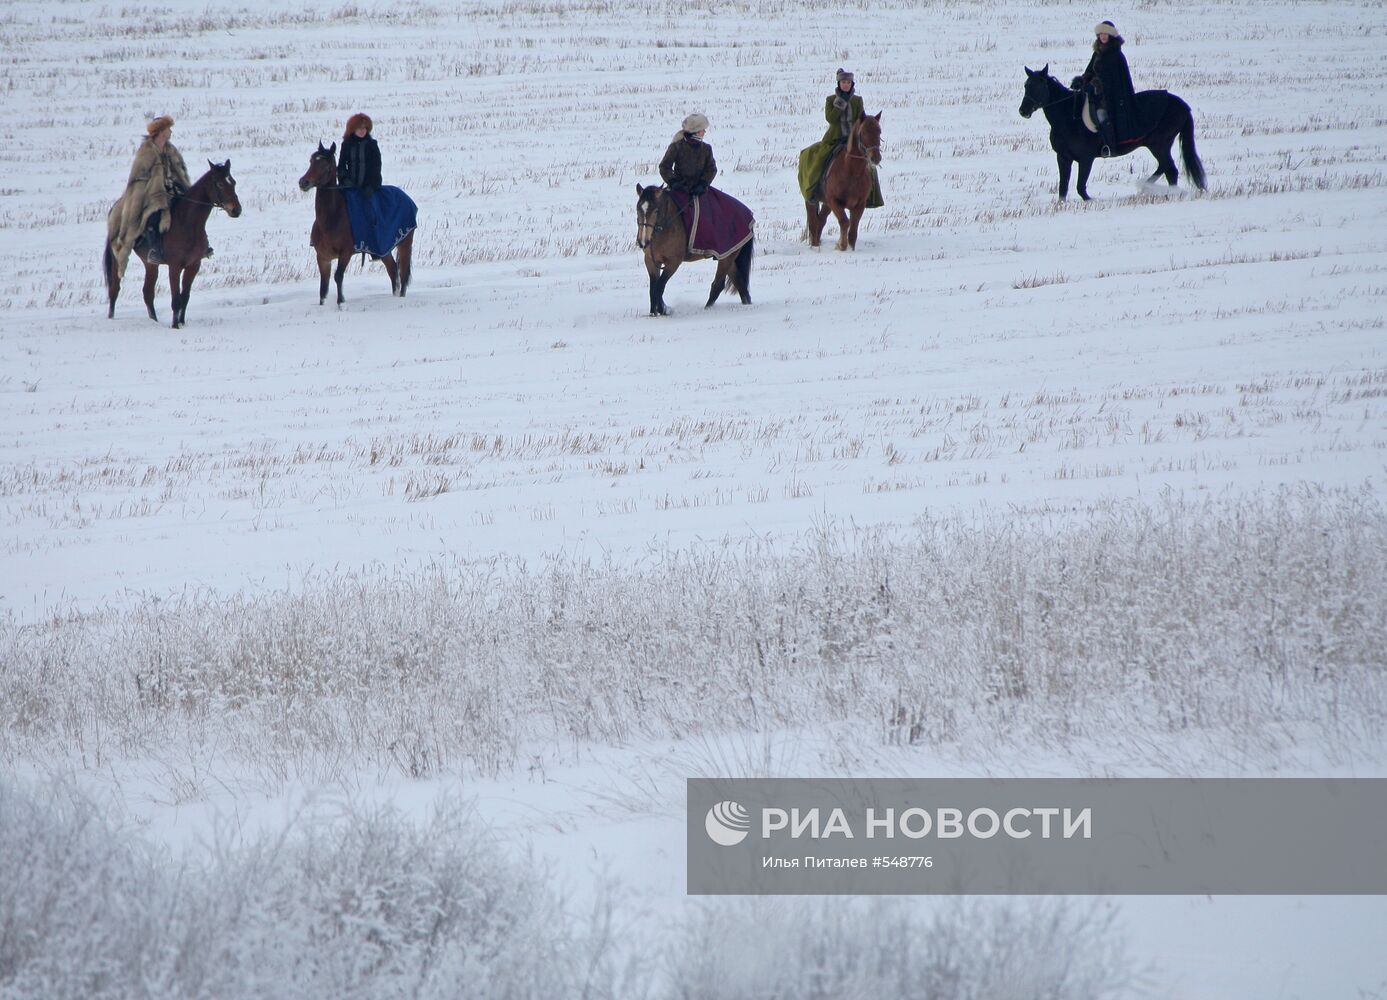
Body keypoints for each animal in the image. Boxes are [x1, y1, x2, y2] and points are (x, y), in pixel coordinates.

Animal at [102, 160, 241, 330]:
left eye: (233, 182)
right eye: (220, 184)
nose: (236, 210)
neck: (187, 223)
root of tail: (116, 207)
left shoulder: (194, 265)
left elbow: (185, 297)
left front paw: (182, 322)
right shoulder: (174, 267)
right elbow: (176, 299)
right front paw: (175, 326)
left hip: (150, 264)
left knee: (148, 293)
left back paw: (154, 320)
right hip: (118, 257)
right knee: (114, 290)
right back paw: (111, 318)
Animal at [296, 140, 410, 303]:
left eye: (326, 165)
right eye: (311, 161)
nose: (303, 182)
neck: (331, 219)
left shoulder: (346, 253)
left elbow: (338, 276)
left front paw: (341, 302)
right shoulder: (323, 258)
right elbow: (323, 288)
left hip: (405, 243)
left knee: (403, 273)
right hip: (384, 250)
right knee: (393, 270)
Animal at [635, 183, 754, 316]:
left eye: (656, 211)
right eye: (638, 209)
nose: (643, 242)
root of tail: (747, 214)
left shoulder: (673, 262)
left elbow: (659, 286)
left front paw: (664, 310)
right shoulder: (650, 261)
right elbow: (653, 288)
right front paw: (653, 313)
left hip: (726, 258)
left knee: (718, 285)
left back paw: (707, 309)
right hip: (728, 256)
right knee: (739, 282)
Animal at [810, 113, 882, 251]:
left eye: (879, 131)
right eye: (864, 132)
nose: (875, 158)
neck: (852, 172)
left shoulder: (859, 204)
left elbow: (853, 230)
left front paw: (850, 248)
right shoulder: (834, 201)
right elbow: (844, 221)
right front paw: (842, 246)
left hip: (826, 204)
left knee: (820, 220)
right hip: (812, 202)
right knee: (813, 222)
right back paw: (814, 245)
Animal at [1020, 64, 1203, 201]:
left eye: (1040, 85)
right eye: (1026, 85)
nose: (1023, 111)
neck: (1069, 118)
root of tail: (1182, 104)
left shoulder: (1086, 159)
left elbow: (1081, 188)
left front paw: (1091, 201)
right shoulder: (1063, 157)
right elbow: (1063, 188)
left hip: (1159, 144)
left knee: (1168, 167)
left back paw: (1151, 187)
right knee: (1169, 169)